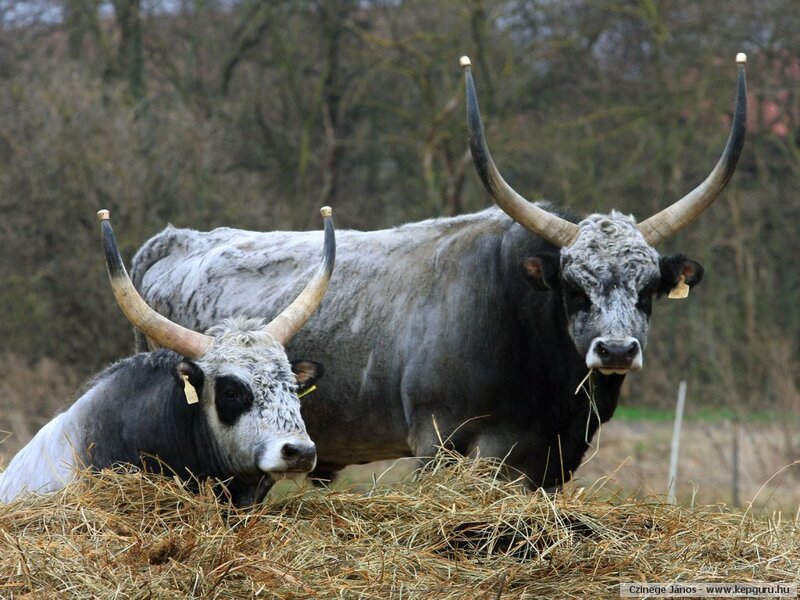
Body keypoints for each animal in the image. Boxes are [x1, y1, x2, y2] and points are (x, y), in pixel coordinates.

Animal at [129, 55, 746, 490]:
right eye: (574, 288)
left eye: (650, 289)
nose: (616, 350)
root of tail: (174, 240)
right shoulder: (444, 443)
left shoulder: (550, 458)